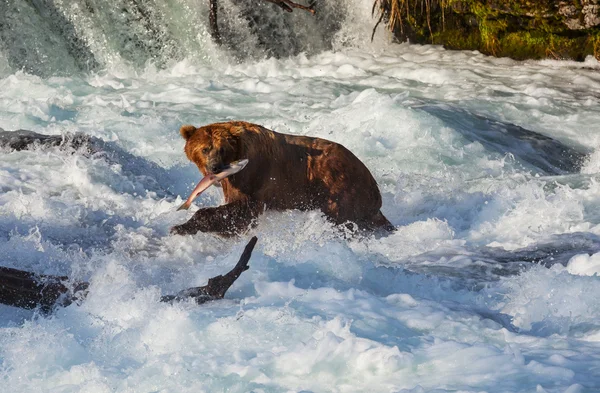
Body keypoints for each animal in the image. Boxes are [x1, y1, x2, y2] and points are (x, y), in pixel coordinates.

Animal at [170, 121, 394, 234]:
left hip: (340, 188)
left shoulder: (252, 176)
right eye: (205, 149)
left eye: (222, 148)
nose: (215, 167)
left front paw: (181, 226)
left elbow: (243, 209)